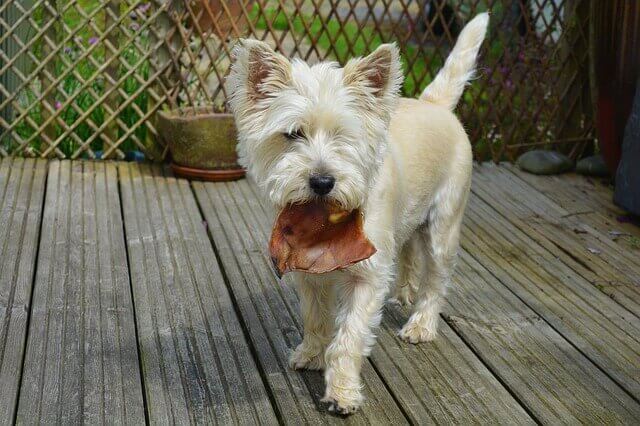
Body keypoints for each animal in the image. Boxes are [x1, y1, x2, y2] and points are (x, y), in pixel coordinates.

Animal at [229, 14, 490, 416]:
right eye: (292, 134)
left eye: (344, 136)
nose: (322, 181)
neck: (324, 225)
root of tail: (436, 105)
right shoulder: (308, 272)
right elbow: (314, 317)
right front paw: (310, 353)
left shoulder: (367, 276)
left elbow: (348, 337)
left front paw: (342, 393)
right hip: (409, 219)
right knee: (409, 253)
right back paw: (403, 293)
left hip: (443, 225)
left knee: (436, 278)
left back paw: (421, 325)